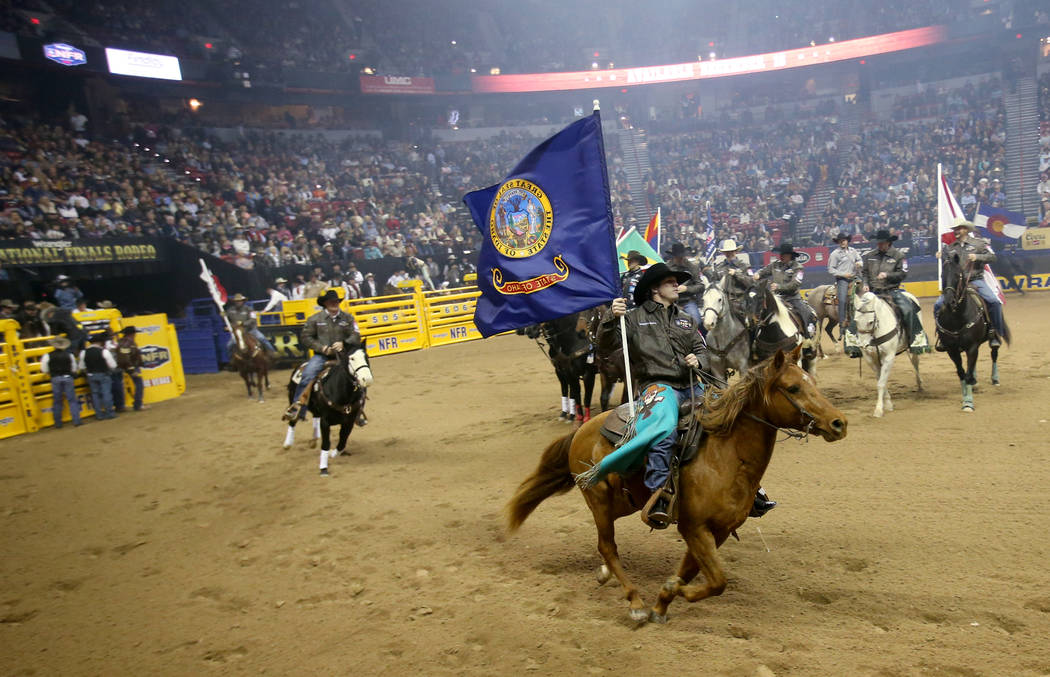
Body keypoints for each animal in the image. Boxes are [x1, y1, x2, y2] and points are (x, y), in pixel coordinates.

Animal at [506, 348, 844, 621]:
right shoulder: (694, 527)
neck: (725, 456)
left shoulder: (718, 531)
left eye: (813, 383)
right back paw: (634, 602)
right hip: (598, 497)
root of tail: (582, 430)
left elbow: (694, 573)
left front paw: (664, 602)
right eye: (793, 387)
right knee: (607, 545)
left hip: (626, 501)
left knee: (605, 544)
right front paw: (668, 594)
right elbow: (717, 581)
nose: (839, 423)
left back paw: (605, 575)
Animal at [848, 289, 923, 417]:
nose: (862, 345)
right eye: (856, 321)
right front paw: (887, 403)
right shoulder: (871, 359)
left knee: (915, 361)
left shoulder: (888, 357)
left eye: (870, 322)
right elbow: (881, 380)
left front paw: (878, 410)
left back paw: (920, 385)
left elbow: (881, 383)